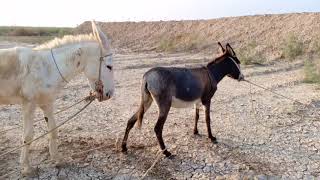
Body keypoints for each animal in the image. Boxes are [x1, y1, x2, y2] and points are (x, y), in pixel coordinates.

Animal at [0, 21, 115, 176]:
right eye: (109, 66)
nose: (110, 94)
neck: (47, 68)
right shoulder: (29, 104)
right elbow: (28, 136)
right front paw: (27, 167)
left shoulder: (47, 103)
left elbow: (53, 130)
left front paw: (57, 159)